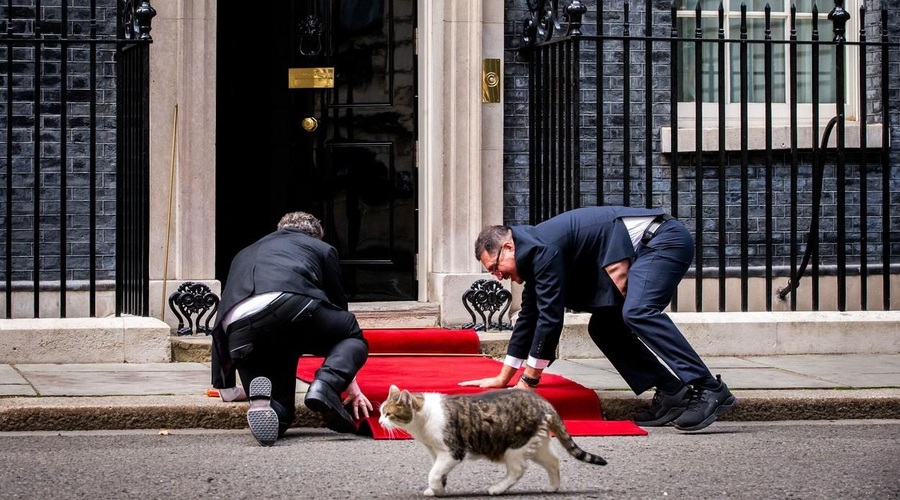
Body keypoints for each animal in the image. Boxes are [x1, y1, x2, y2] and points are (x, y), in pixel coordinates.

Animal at [376, 382, 608, 496]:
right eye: (380, 412)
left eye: (388, 414)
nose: (379, 421)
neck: (422, 422)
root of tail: (543, 402)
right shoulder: (436, 452)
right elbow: (438, 473)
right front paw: (436, 489)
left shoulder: (452, 451)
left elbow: (433, 474)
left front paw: (438, 490)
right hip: (536, 443)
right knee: (554, 461)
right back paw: (552, 487)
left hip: (514, 446)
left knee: (517, 470)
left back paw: (497, 488)